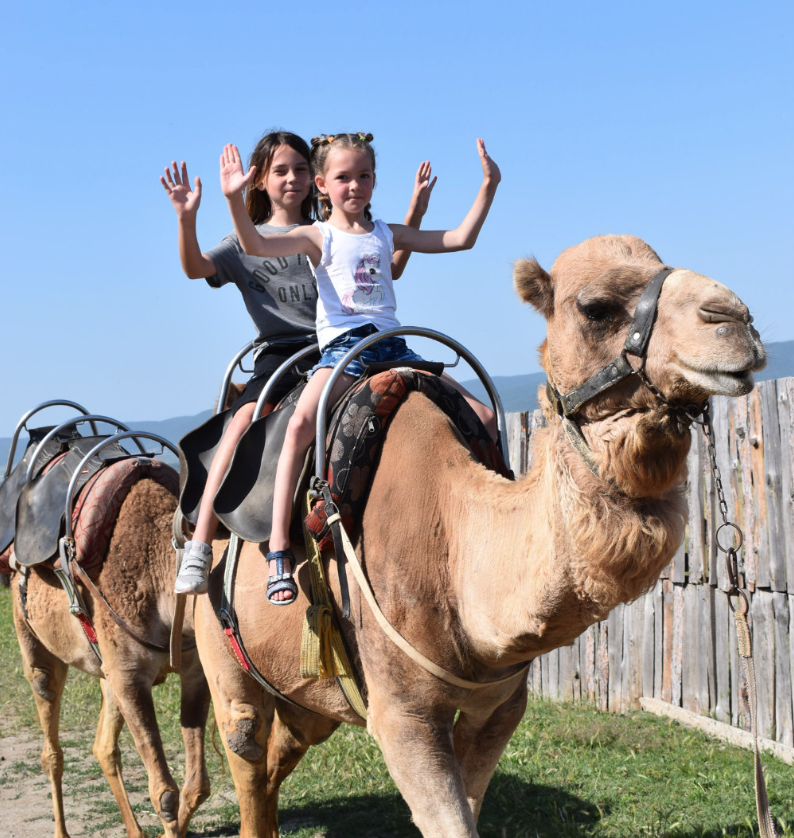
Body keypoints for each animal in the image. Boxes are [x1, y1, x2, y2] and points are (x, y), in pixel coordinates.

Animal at [8, 467, 211, 838]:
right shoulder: (130, 675)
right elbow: (164, 794)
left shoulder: (193, 670)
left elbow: (197, 786)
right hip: (31, 637)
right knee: (50, 745)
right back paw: (61, 831)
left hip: (107, 673)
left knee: (102, 747)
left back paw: (135, 831)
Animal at [193, 234, 766, 838]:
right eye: (596, 308)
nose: (734, 320)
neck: (454, 549)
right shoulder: (402, 714)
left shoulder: (501, 705)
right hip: (224, 653)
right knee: (246, 746)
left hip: (306, 692)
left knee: (283, 749)